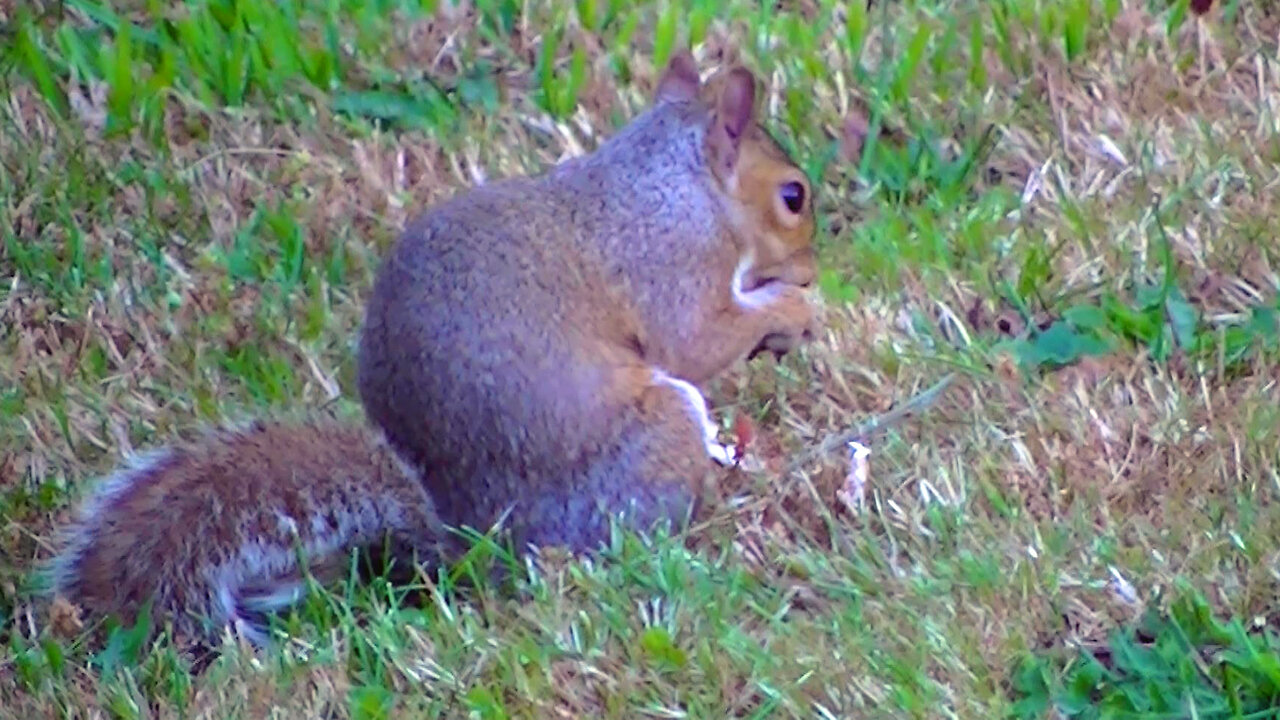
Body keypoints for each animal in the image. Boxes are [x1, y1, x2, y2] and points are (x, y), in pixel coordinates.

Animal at [42, 51, 819, 645]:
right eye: (793, 196)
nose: (813, 266)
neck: (674, 182)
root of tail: (470, 544)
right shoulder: (670, 263)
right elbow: (696, 338)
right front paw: (794, 309)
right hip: (654, 435)